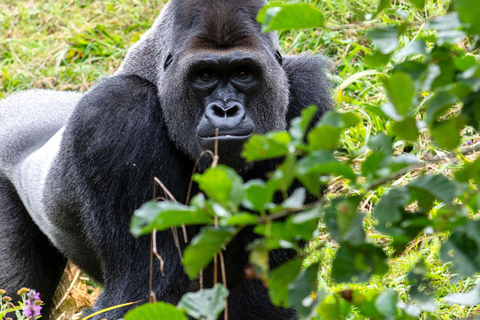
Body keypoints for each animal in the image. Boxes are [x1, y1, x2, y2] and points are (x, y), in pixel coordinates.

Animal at [0, 0, 330, 320]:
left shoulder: (307, 98)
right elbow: (146, 292)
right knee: (14, 293)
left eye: (243, 73)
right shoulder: (117, 112)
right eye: (205, 75)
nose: (225, 110)